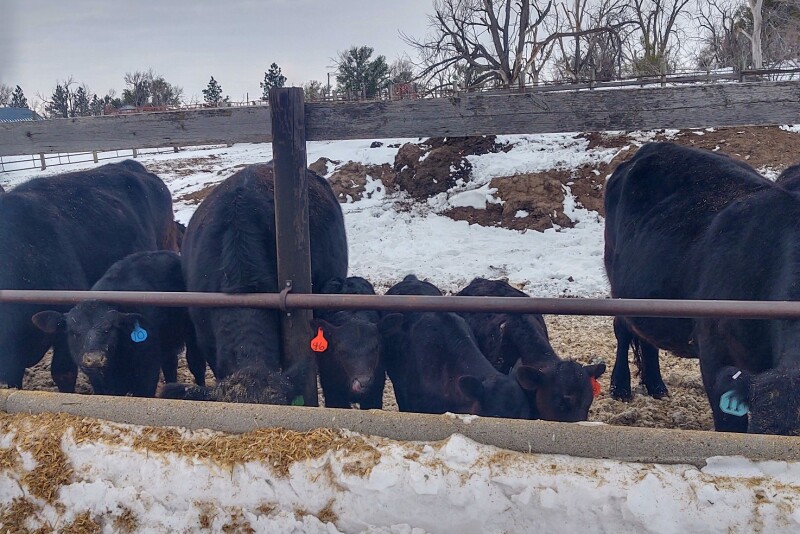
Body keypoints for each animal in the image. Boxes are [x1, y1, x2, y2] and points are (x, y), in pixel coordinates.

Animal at [30, 251, 203, 397]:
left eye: (109, 329)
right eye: (74, 332)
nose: (94, 359)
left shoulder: (148, 373)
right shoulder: (99, 382)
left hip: (192, 337)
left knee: (196, 363)